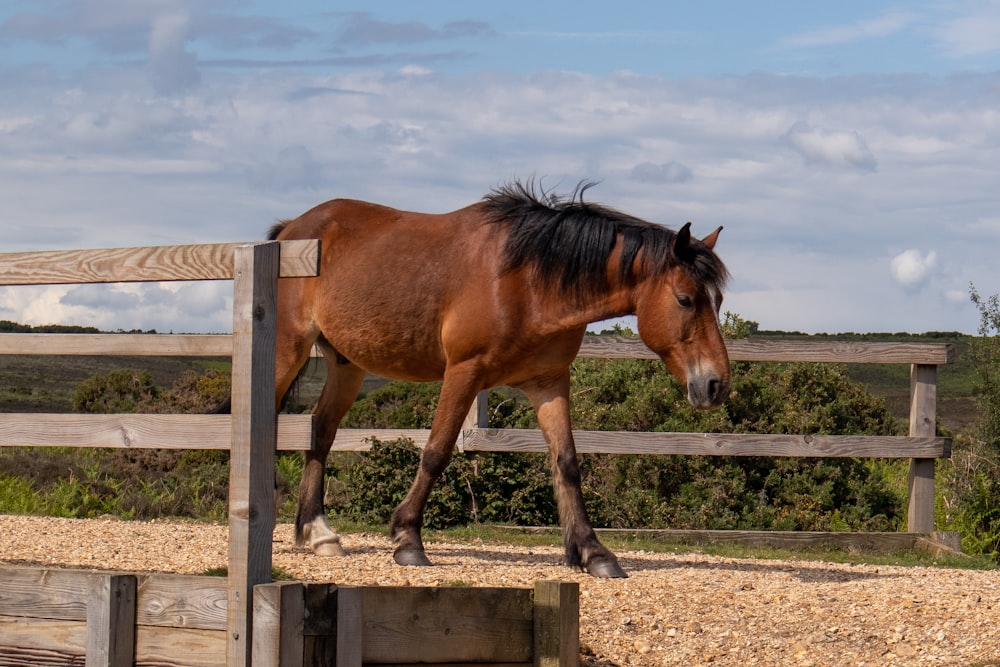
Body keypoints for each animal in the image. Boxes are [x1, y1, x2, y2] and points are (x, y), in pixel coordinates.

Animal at [270, 183, 732, 580]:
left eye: (718, 300)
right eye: (685, 300)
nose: (716, 385)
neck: (527, 281)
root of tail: (291, 229)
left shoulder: (548, 382)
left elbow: (567, 463)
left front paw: (593, 552)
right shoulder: (464, 372)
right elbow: (436, 453)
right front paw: (407, 539)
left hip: (346, 365)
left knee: (322, 431)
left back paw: (319, 533)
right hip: (286, 351)